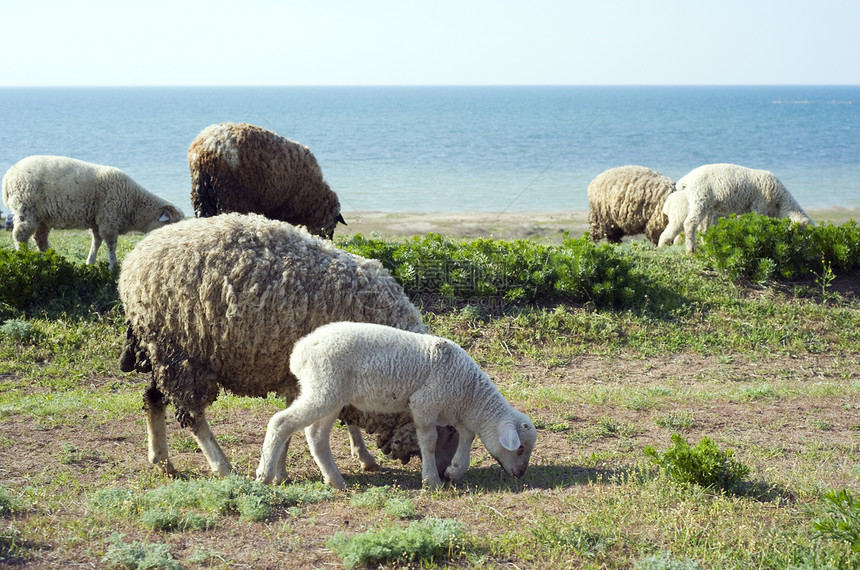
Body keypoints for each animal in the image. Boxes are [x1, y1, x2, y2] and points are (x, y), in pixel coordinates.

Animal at [2, 154, 184, 268]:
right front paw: (113, 266)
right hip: (26, 208)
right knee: (20, 235)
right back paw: (23, 257)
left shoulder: (98, 221)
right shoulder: (109, 218)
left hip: (43, 216)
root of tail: (8, 177)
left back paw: (51, 259)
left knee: (40, 239)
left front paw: (90, 262)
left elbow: (96, 242)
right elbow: (111, 245)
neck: (134, 203)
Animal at [119, 211, 464, 478]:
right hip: (183, 355)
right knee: (192, 415)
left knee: (152, 398)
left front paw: (360, 455)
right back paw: (222, 465)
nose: (446, 474)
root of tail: (132, 261)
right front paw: (281, 470)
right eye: (446, 436)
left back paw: (162, 461)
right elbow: (295, 421)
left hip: (162, 352)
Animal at [188, 123, 346, 239]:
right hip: (230, 194)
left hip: (201, 193)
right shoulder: (281, 208)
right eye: (333, 224)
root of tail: (207, 146)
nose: (329, 239)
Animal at [255, 320, 536, 488]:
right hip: (323, 388)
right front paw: (431, 480)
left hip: (330, 394)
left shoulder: (456, 413)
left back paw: (334, 479)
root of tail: (299, 351)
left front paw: (454, 471)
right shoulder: (425, 403)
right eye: (520, 448)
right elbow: (429, 442)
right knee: (281, 422)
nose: (521, 474)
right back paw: (265, 474)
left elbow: (468, 437)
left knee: (316, 434)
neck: (470, 393)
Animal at [660, 164, 816, 253]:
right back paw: (690, 250)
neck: (780, 203)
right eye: (802, 234)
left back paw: (705, 245)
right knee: (689, 224)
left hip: (708, 206)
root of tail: (686, 180)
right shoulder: (759, 206)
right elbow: (757, 225)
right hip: (700, 199)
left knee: (703, 228)